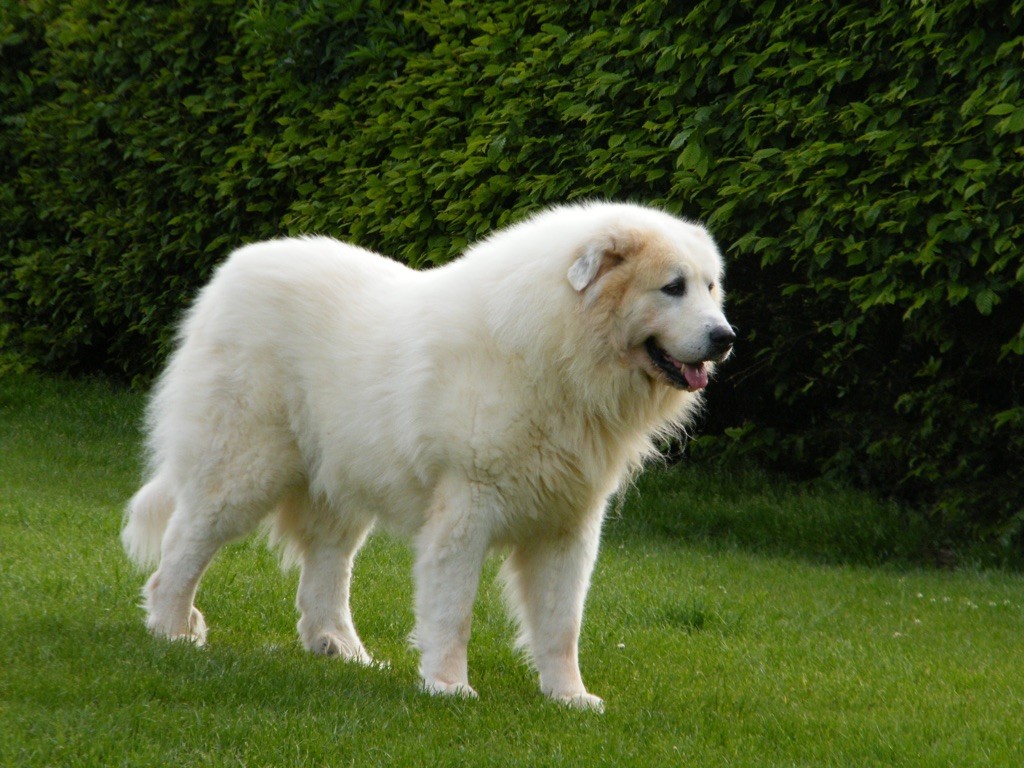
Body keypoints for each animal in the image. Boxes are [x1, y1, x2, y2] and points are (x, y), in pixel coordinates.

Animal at [123, 201, 733, 712]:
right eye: (672, 287)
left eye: (710, 287)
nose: (725, 337)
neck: (560, 350)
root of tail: (233, 269)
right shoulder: (467, 505)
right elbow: (454, 610)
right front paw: (448, 686)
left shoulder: (569, 524)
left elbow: (563, 623)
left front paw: (570, 698)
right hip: (242, 469)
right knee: (185, 546)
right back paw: (173, 629)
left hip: (340, 486)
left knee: (327, 568)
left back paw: (341, 648)